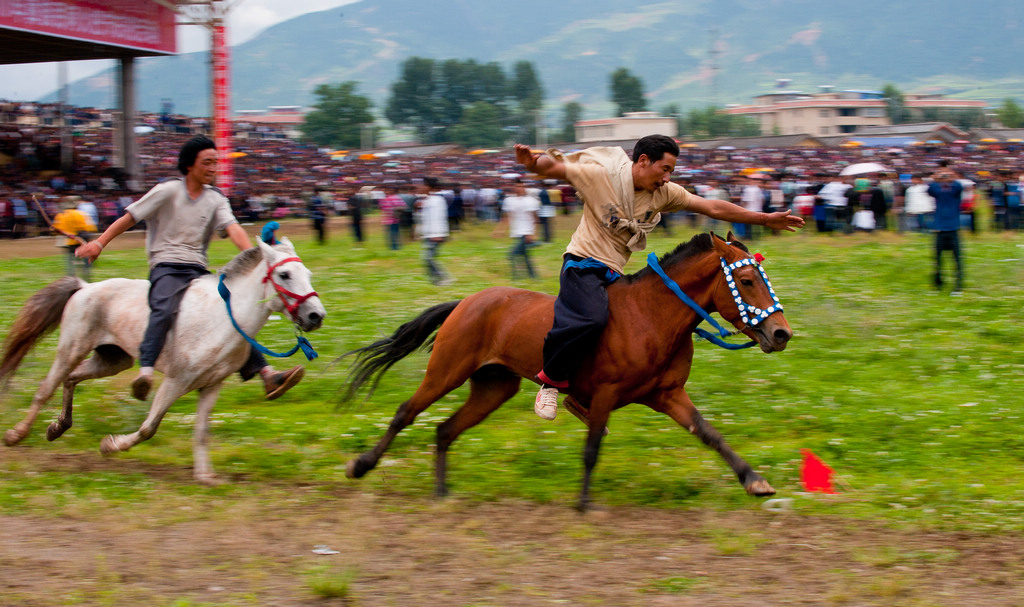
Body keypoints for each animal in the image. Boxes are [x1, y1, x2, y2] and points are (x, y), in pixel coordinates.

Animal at [0, 237, 323, 483]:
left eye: (308, 274)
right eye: (284, 275)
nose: (316, 315)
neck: (223, 319)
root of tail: (84, 287)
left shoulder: (212, 385)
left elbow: (201, 432)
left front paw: (206, 476)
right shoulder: (176, 381)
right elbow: (149, 427)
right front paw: (111, 445)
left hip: (112, 360)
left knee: (71, 378)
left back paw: (58, 427)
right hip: (71, 348)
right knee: (46, 388)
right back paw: (16, 435)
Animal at [344, 230, 790, 505]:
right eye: (747, 281)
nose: (781, 333)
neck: (650, 316)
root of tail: (465, 303)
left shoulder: (667, 395)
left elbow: (710, 434)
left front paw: (754, 480)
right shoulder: (606, 394)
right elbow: (591, 450)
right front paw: (584, 502)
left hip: (494, 387)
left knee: (444, 430)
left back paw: (441, 491)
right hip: (446, 371)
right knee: (406, 413)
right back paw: (362, 465)